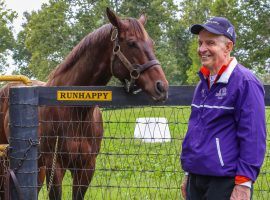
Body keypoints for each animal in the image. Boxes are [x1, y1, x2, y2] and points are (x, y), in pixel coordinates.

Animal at [0, 7, 169, 199]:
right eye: (132, 43)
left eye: (151, 43)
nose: (161, 86)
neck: (74, 111)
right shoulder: (55, 166)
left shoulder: (86, 168)